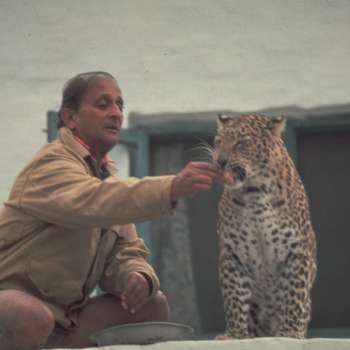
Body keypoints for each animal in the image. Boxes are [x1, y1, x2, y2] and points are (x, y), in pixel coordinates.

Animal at [211, 115, 318, 340]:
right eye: (218, 142)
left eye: (241, 144)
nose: (220, 162)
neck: (255, 194)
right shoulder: (232, 252)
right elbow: (234, 295)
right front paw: (235, 334)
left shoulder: (297, 250)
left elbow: (294, 294)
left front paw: (290, 332)